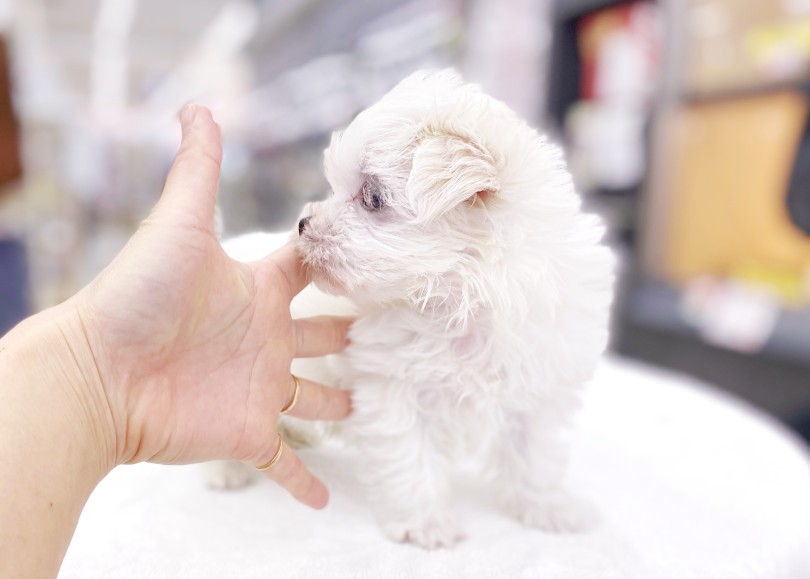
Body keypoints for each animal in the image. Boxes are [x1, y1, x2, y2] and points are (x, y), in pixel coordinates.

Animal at [211, 70, 608, 552]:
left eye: (373, 198)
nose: (303, 224)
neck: (460, 300)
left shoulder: (540, 382)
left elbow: (535, 455)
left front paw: (548, 508)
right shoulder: (394, 391)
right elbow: (411, 459)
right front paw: (426, 524)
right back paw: (226, 471)